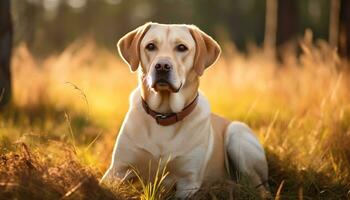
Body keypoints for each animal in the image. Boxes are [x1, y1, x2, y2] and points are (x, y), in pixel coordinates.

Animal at [102, 22, 270, 198]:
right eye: (150, 46)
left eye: (181, 47)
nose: (162, 66)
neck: (164, 115)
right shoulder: (116, 171)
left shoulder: (188, 183)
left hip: (237, 134)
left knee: (261, 188)